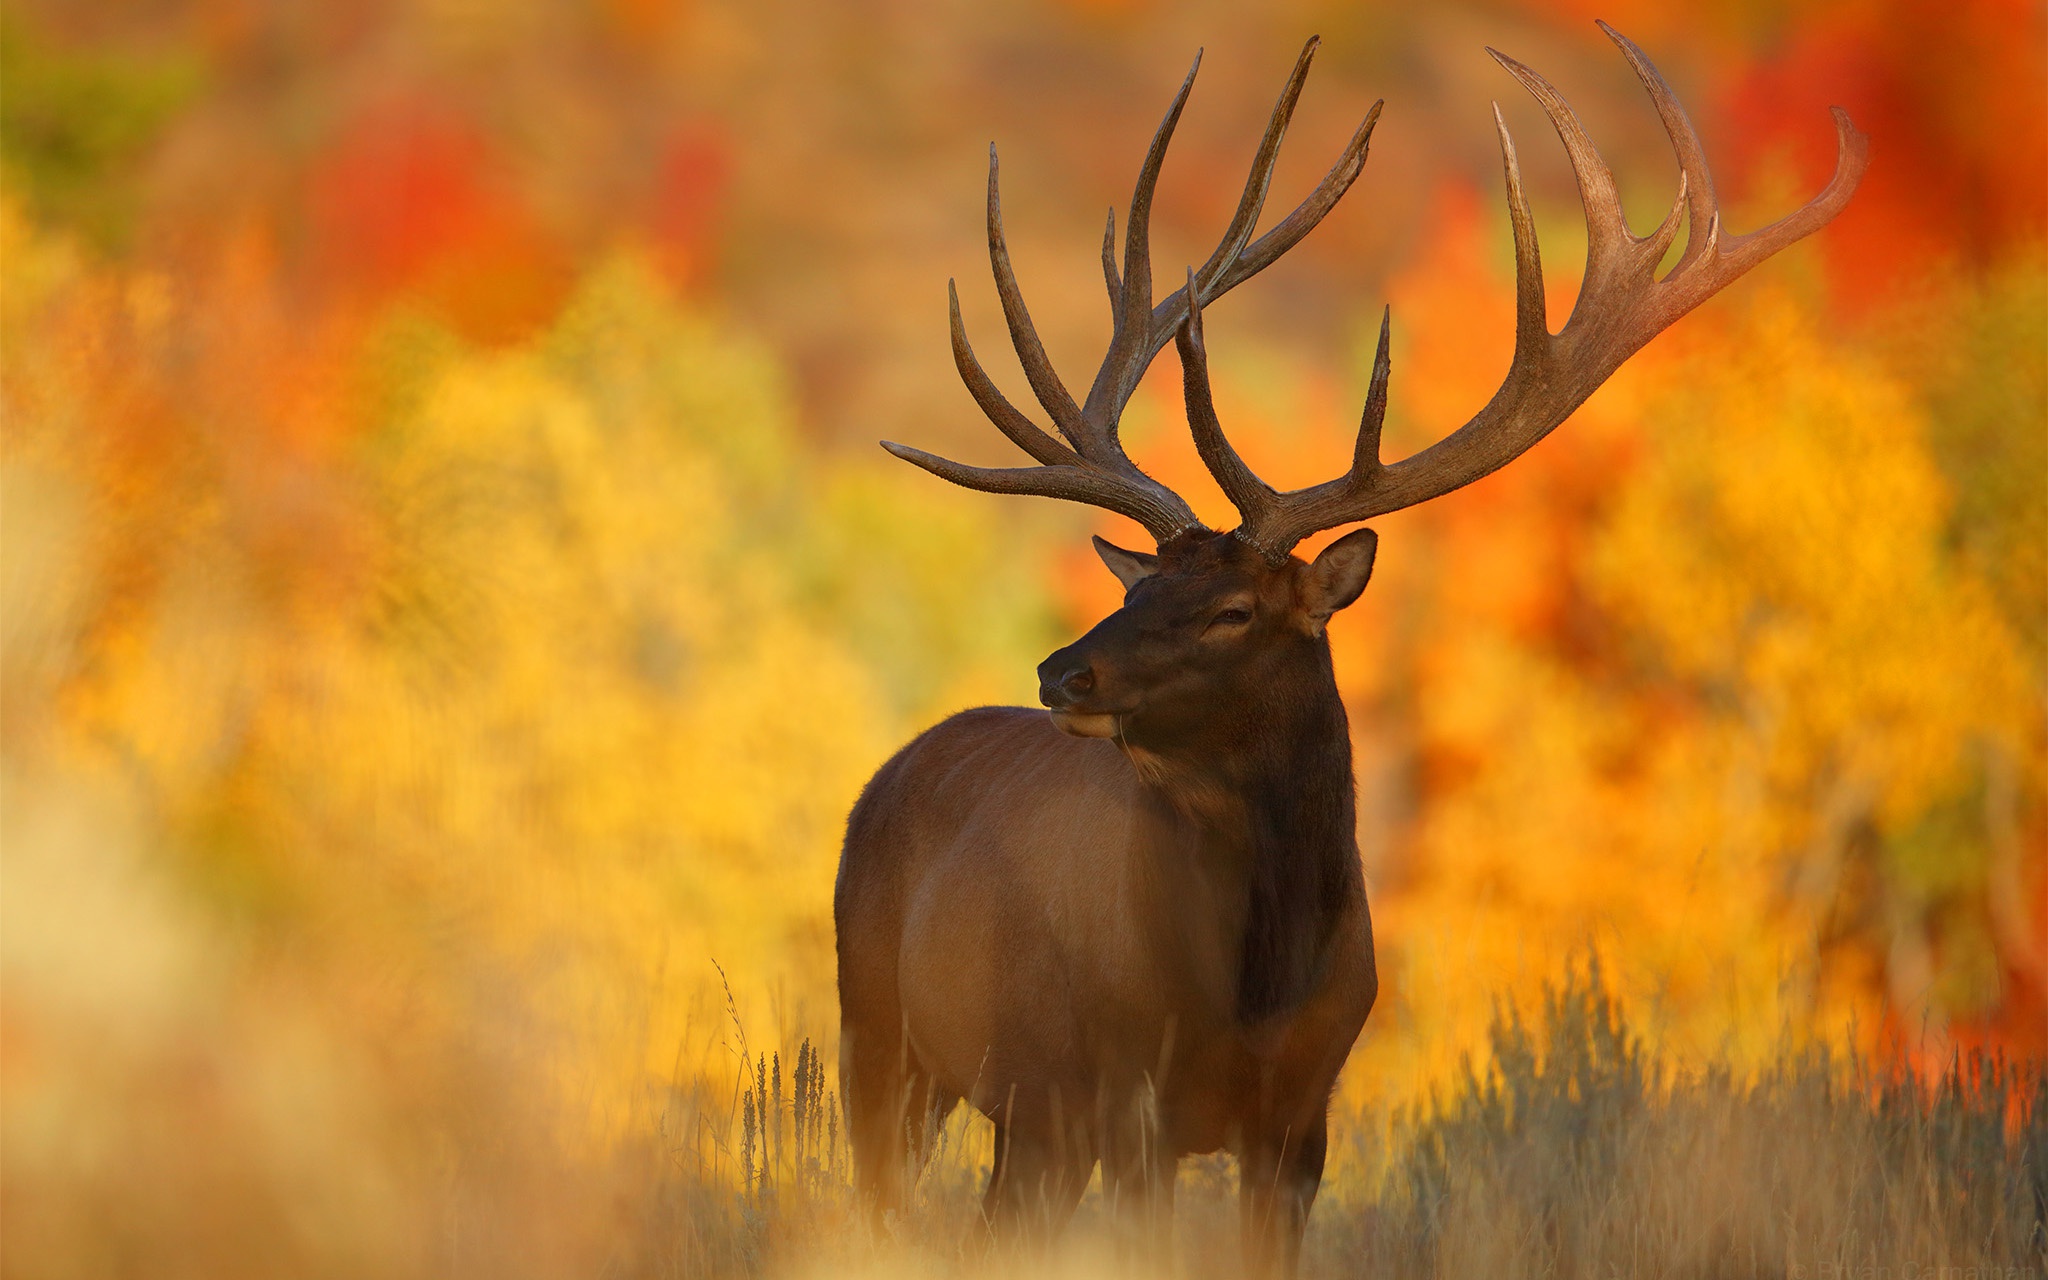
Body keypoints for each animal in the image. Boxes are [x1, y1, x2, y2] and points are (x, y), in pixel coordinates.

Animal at [827, 22, 1859, 1269]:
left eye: (1232, 610)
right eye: (1143, 578)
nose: (1059, 671)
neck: (1254, 987)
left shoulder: (1299, 1118)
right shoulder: (1130, 1096)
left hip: (1025, 1117)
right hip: (881, 1036)